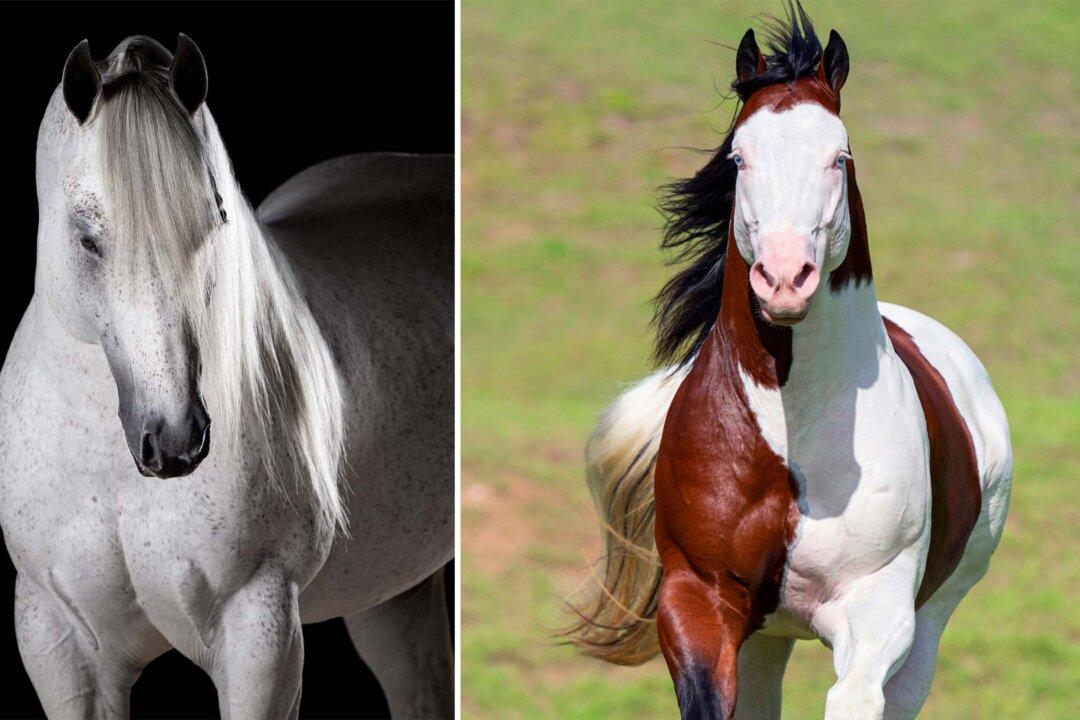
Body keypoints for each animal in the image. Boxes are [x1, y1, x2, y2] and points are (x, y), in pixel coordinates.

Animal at [0, 35, 453, 718]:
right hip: (395, 590)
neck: (112, 477)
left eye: (214, 217)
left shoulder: (258, 633)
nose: (175, 441)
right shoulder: (59, 636)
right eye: (86, 237)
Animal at [568, 9, 1012, 720]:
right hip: (766, 636)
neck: (790, 442)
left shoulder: (877, 609)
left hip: (932, 618)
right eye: (738, 157)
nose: (784, 278)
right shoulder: (700, 599)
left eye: (840, 155)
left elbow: (853, 696)